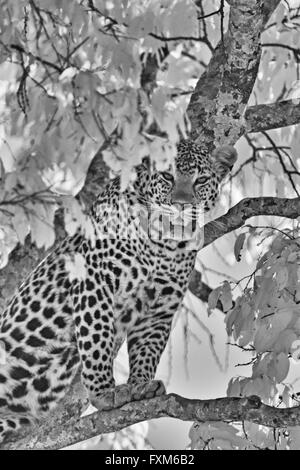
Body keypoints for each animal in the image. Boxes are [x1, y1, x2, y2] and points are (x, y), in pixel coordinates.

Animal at [0, 140, 237, 444]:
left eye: (202, 180)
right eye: (167, 177)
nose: (182, 206)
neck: (165, 242)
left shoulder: (161, 306)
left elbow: (148, 349)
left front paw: (141, 385)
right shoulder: (95, 281)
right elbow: (97, 339)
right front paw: (104, 393)